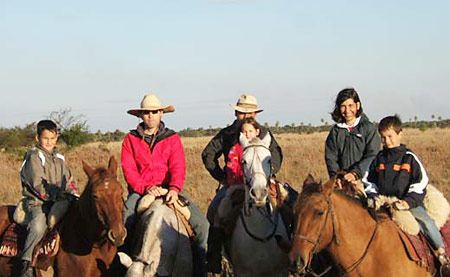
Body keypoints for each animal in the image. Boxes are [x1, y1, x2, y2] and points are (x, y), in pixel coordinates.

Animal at [219, 133, 290, 274]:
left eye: (269, 160)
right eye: (243, 161)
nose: (258, 193)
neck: (260, 229)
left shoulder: (280, 270)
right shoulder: (242, 271)